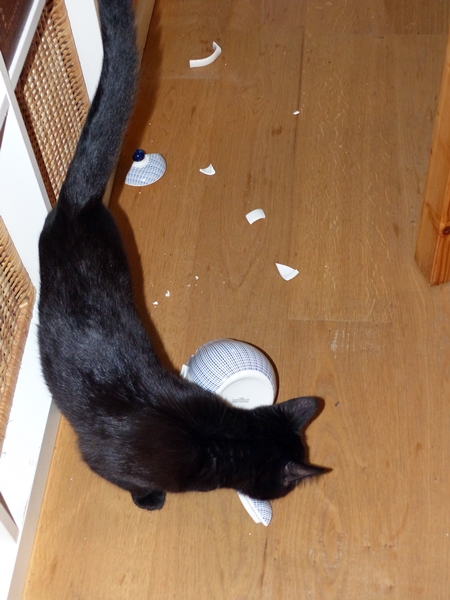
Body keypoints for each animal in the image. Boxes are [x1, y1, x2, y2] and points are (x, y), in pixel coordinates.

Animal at [38, 0, 326, 511]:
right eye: (287, 483)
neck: (213, 436)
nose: (287, 495)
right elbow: (127, 479)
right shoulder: (102, 460)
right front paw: (148, 499)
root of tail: (78, 203)